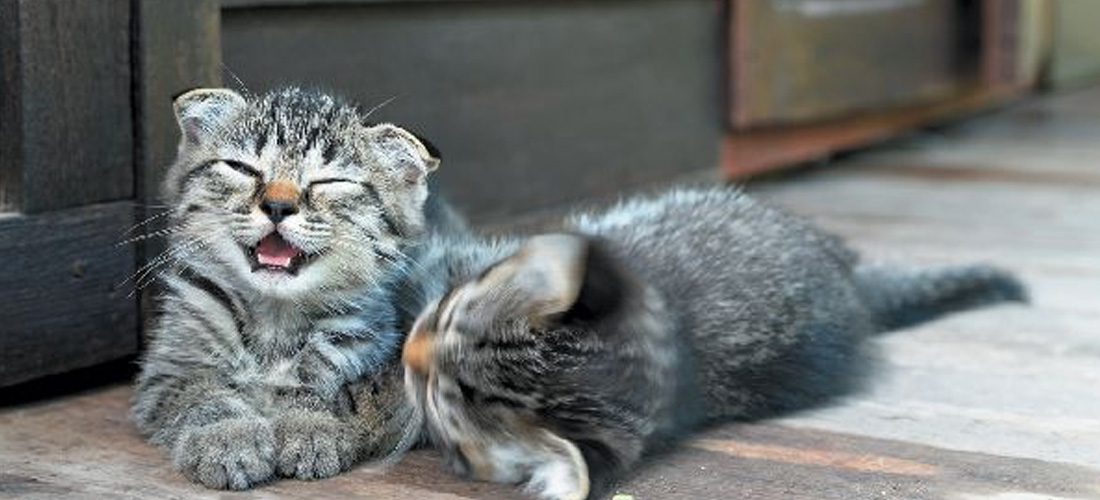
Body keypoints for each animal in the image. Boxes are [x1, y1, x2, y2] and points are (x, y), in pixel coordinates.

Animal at [128, 86, 437, 490]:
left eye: (330, 182)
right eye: (242, 168)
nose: (277, 205)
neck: (274, 320)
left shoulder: (383, 366)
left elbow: (337, 393)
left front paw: (309, 425)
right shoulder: (166, 370)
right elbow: (203, 395)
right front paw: (229, 437)